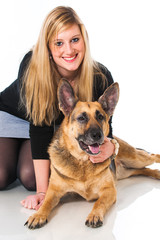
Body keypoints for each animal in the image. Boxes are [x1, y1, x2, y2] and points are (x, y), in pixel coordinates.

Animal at [24, 79, 160, 229]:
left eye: (100, 117)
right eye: (81, 118)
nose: (98, 135)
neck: (82, 161)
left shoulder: (109, 190)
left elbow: (98, 203)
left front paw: (94, 215)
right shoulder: (53, 191)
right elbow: (46, 203)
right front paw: (38, 215)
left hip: (135, 158)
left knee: (153, 156)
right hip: (127, 171)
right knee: (146, 169)